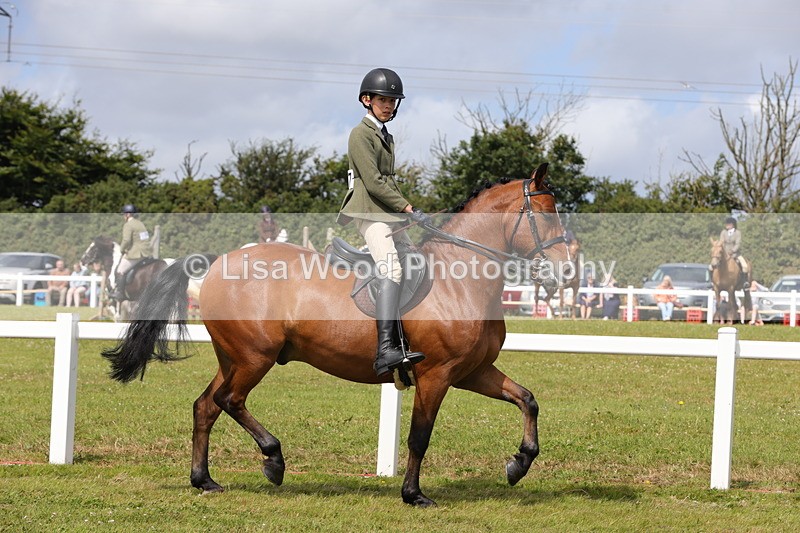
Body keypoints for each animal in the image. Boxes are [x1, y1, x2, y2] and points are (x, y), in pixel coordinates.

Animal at [100, 164, 572, 507]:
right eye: (544, 213)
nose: (566, 272)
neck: (461, 279)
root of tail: (218, 262)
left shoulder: (472, 371)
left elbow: (527, 399)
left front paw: (519, 463)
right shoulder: (436, 375)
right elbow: (420, 435)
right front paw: (413, 494)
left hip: (233, 357)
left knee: (206, 406)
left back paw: (204, 480)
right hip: (255, 357)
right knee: (228, 400)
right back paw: (273, 460)